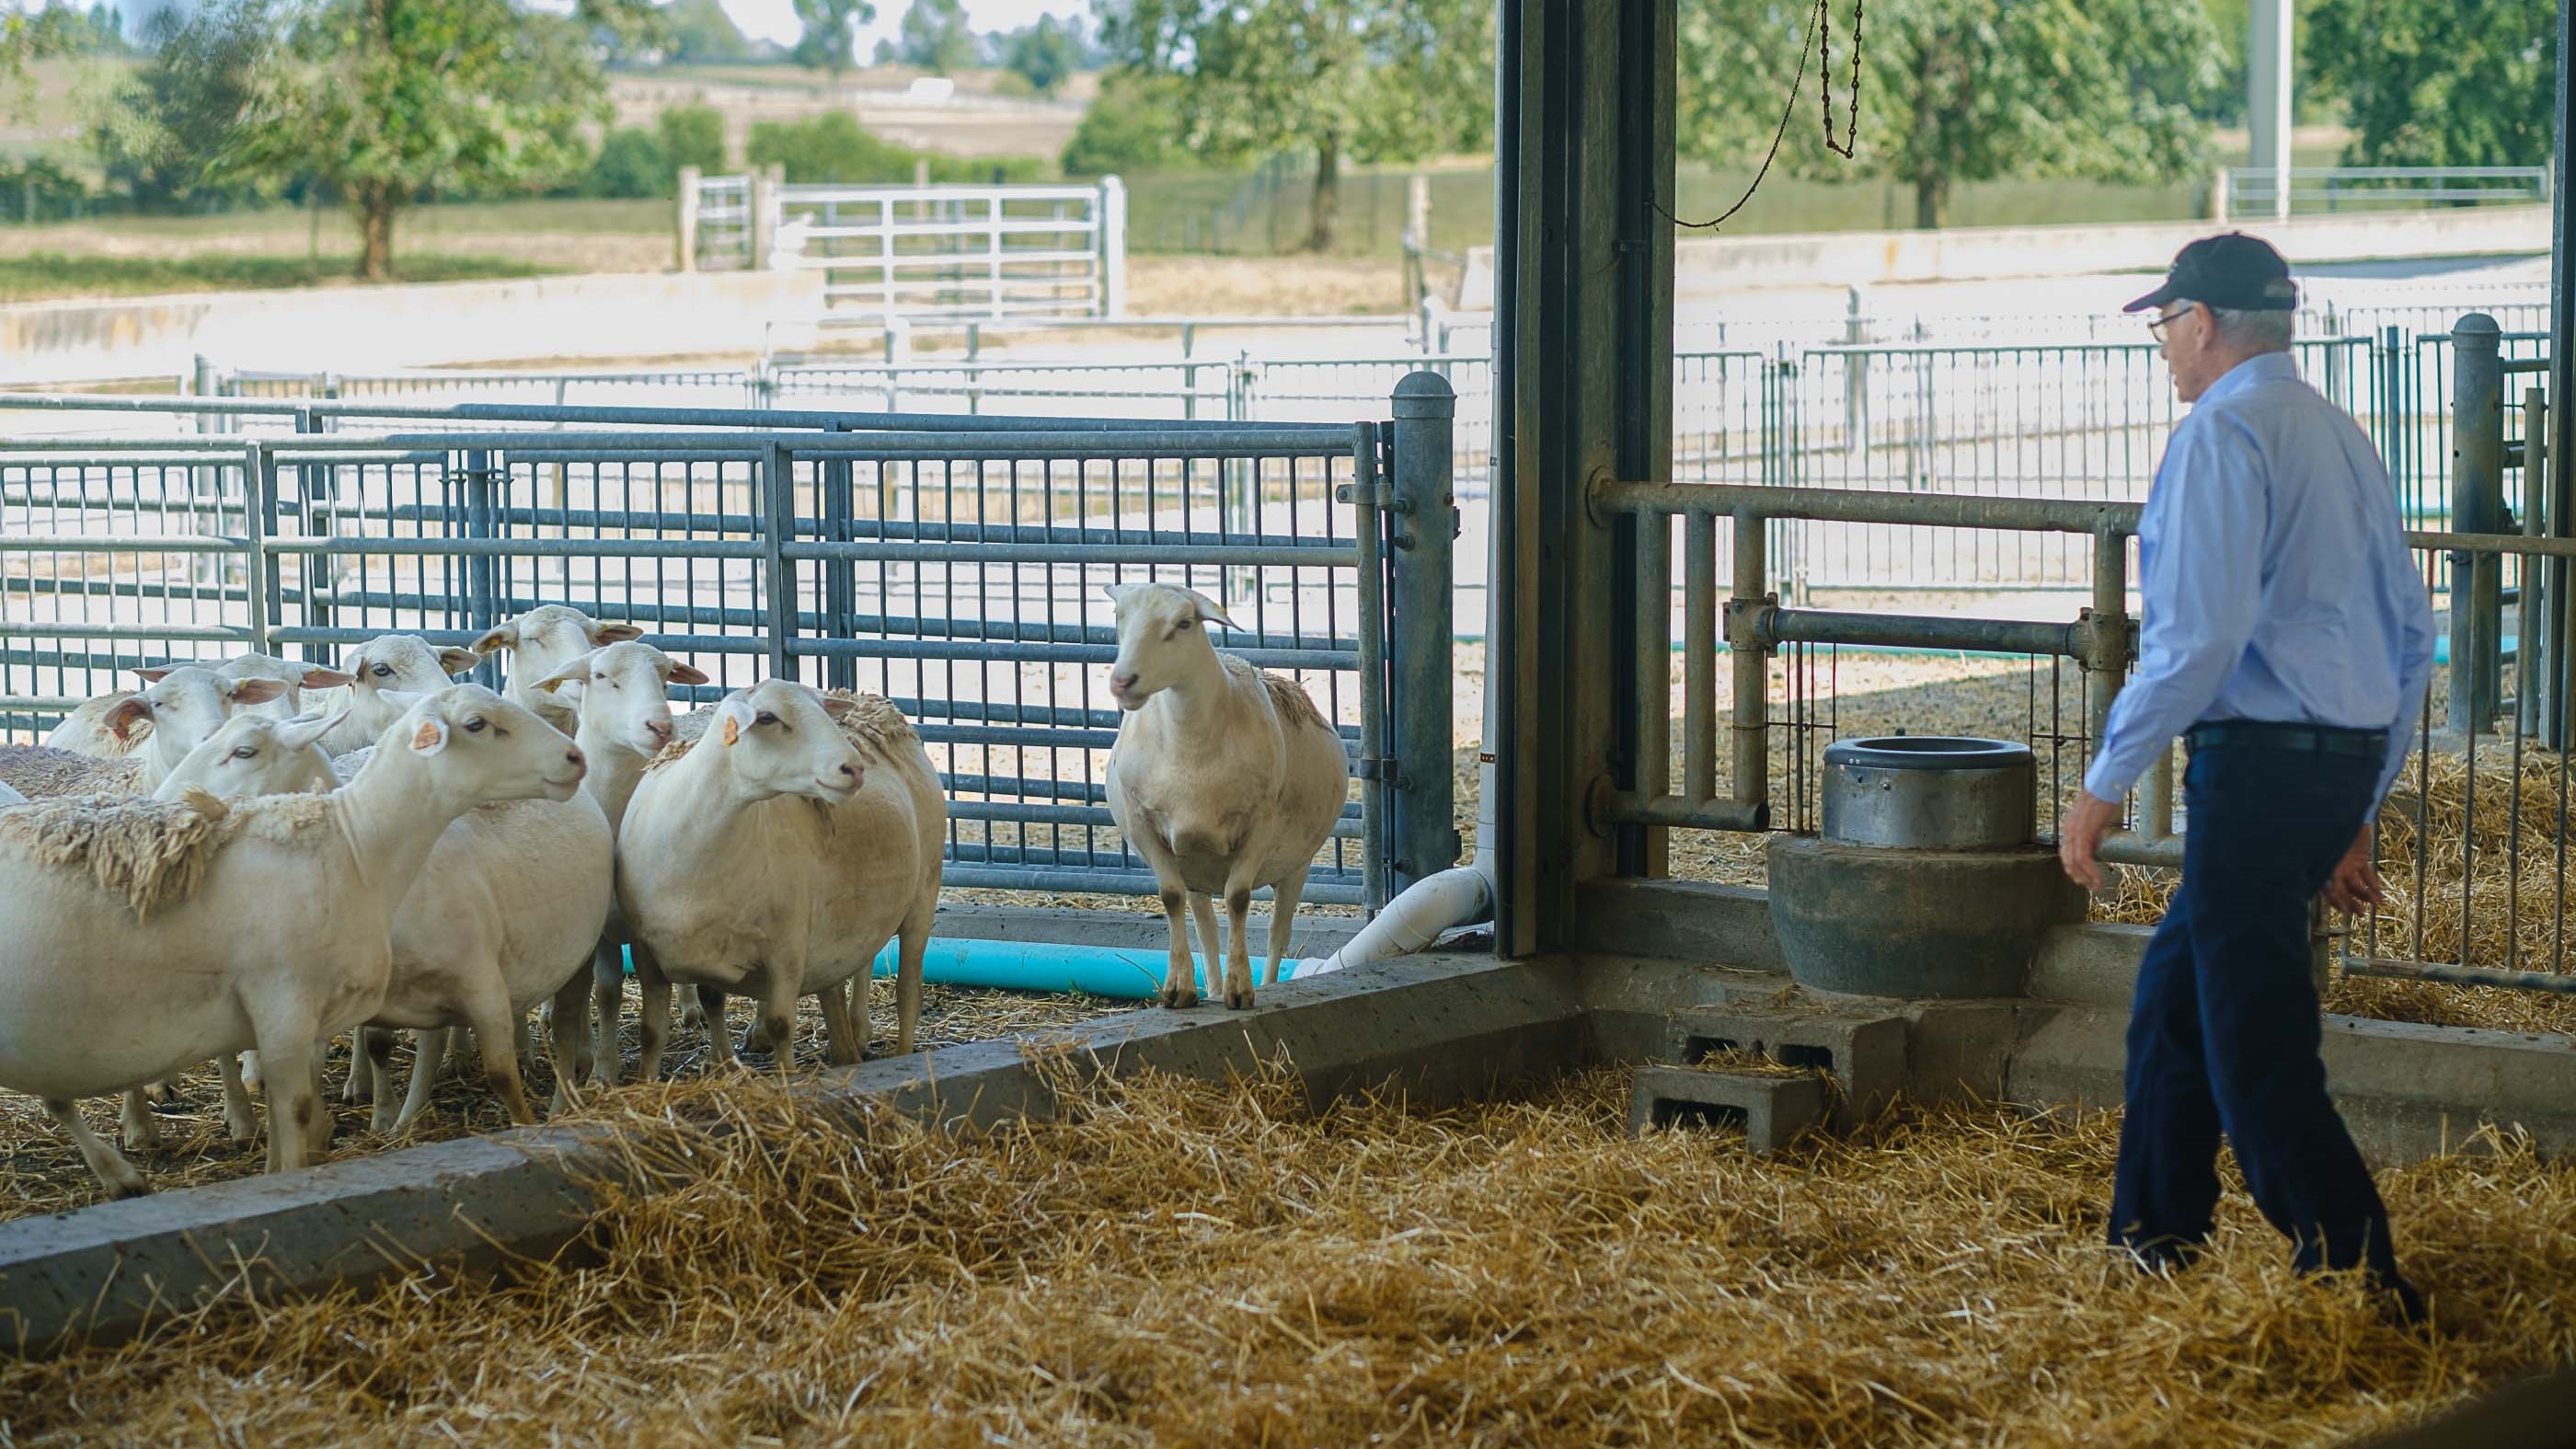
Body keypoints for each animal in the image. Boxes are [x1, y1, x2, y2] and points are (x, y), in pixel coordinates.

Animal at [0, 685, 587, 1196]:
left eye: (243, 749)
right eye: (476, 724)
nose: (574, 757)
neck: (355, 843)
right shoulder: (283, 1008)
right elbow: (295, 1113)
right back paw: (123, 1170)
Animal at [613, 675, 948, 1072]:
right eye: (768, 718)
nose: (854, 768)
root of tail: (864, 697)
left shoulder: (785, 948)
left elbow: (781, 1024)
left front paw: (787, 1078)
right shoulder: (648, 953)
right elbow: (654, 1030)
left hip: (924, 890)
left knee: (908, 988)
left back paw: (899, 1053)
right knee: (851, 968)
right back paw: (851, 1039)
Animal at [1102, 580, 1350, 1010]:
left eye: (1183, 623)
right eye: (1119, 618)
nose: (1123, 682)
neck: (1189, 747)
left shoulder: (1259, 825)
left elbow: (1238, 898)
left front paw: (1240, 990)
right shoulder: (1145, 826)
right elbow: (1170, 898)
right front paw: (1178, 990)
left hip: (1296, 864)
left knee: (1278, 933)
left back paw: (1262, 984)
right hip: (1196, 869)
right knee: (1205, 930)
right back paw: (1211, 989)